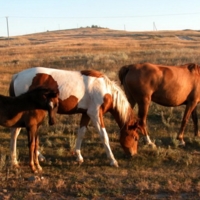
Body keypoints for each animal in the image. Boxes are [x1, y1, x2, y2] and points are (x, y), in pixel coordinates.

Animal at [8, 67, 138, 169]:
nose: (133, 154)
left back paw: (39, 157)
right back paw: (14, 161)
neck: (104, 89)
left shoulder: (86, 114)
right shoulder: (95, 114)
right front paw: (112, 160)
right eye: (135, 138)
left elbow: (81, 133)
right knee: (15, 133)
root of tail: (17, 76)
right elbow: (104, 136)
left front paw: (78, 156)